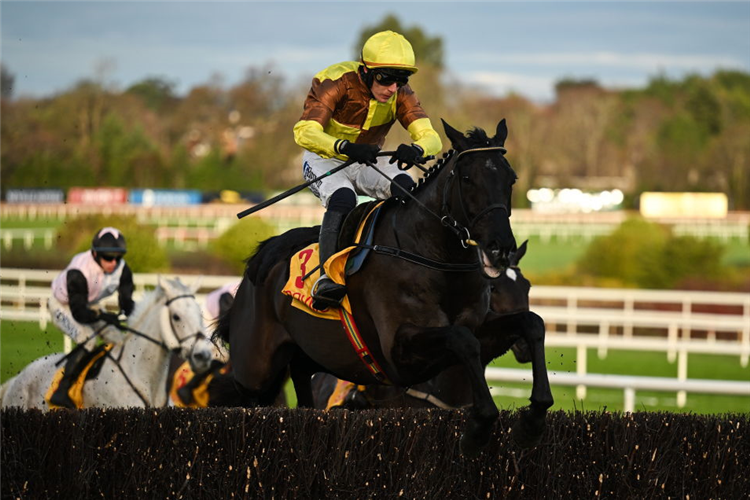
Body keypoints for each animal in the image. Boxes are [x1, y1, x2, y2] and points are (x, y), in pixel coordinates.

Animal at [217, 119, 532, 456]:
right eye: (468, 178)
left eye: (511, 178)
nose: (500, 247)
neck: (433, 257)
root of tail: (262, 256)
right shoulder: (399, 352)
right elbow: (462, 339)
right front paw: (480, 427)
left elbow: (529, 323)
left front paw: (531, 418)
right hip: (254, 371)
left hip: (305, 357)